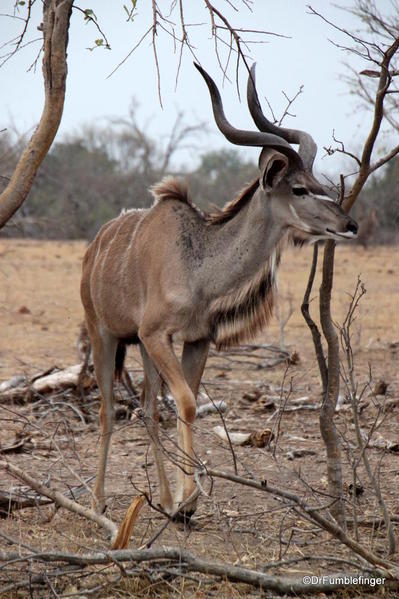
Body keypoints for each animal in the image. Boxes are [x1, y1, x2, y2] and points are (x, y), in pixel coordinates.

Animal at [81, 62, 360, 524]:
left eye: (317, 182)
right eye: (299, 189)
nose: (349, 225)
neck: (198, 265)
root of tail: (93, 250)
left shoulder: (195, 339)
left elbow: (184, 402)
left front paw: (182, 502)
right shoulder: (157, 334)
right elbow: (187, 403)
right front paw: (189, 498)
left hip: (140, 347)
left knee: (148, 408)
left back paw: (160, 498)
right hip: (104, 335)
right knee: (107, 411)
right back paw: (98, 501)